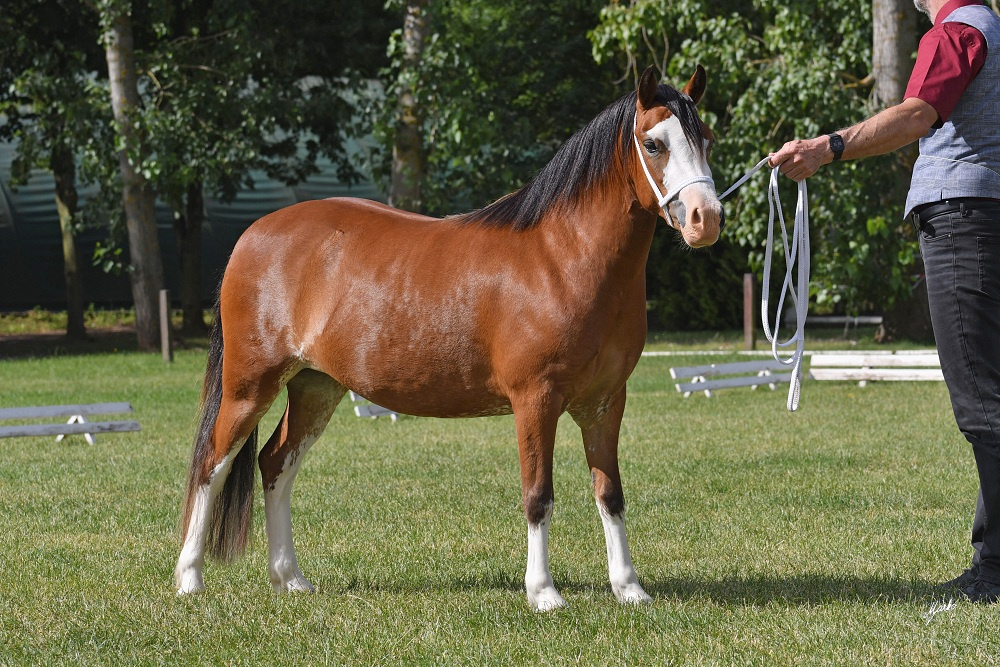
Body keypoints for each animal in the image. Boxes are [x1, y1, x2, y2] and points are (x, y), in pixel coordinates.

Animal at [174, 65, 724, 611]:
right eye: (653, 143)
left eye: (706, 139)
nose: (706, 219)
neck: (562, 257)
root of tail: (252, 235)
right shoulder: (536, 401)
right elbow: (538, 495)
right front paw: (543, 593)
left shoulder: (605, 403)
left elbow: (610, 493)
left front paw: (629, 588)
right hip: (248, 387)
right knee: (211, 465)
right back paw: (189, 579)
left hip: (315, 387)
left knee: (275, 466)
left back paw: (289, 578)